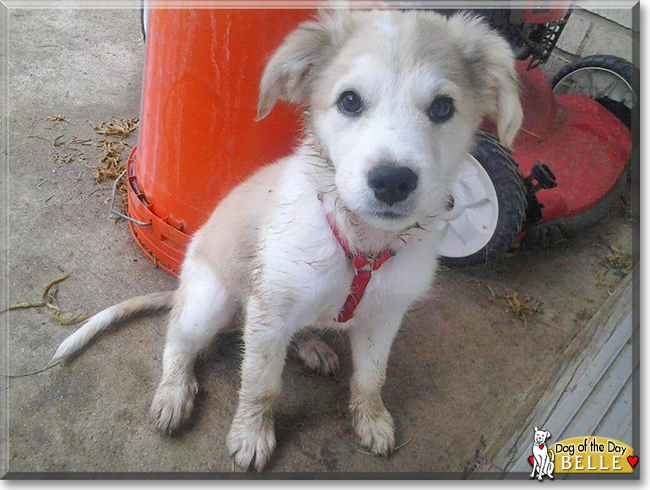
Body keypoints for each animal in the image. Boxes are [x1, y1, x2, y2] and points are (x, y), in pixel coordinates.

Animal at [53, 9, 524, 470]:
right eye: (349, 101)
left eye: (443, 108)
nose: (392, 182)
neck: (360, 243)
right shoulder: (271, 312)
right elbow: (261, 384)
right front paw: (251, 435)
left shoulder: (384, 316)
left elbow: (371, 378)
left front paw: (371, 421)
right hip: (209, 301)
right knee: (177, 341)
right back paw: (173, 393)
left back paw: (312, 347)